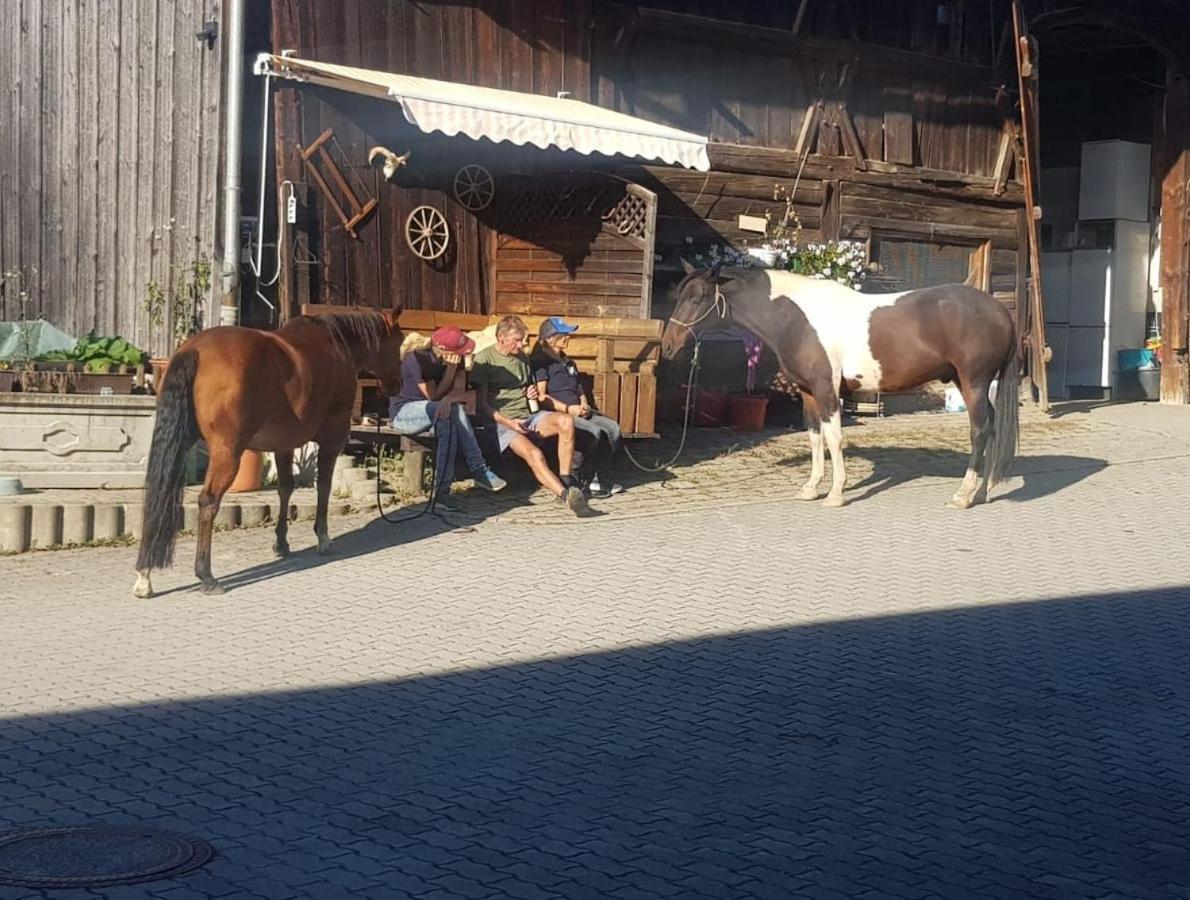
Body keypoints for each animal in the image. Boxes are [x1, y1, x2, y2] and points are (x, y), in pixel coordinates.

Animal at [133, 309, 404, 597]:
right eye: (399, 341)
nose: (397, 385)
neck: (336, 345)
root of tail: (194, 349)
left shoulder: (285, 445)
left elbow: (285, 488)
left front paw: (281, 543)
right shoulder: (332, 439)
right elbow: (324, 486)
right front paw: (323, 538)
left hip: (177, 444)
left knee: (159, 492)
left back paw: (144, 576)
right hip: (227, 454)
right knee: (208, 502)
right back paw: (206, 575)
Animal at [656, 263, 1018, 509]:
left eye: (698, 298)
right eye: (680, 296)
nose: (668, 346)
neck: (797, 318)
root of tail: (1000, 310)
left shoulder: (825, 389)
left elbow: (834, 437)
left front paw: (835, 493)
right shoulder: (808, 392)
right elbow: (815, 437)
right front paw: (811, 488)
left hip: (974, 383)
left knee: (980, 431)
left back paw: (963, 495)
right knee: (993, 428)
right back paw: (983, 492)